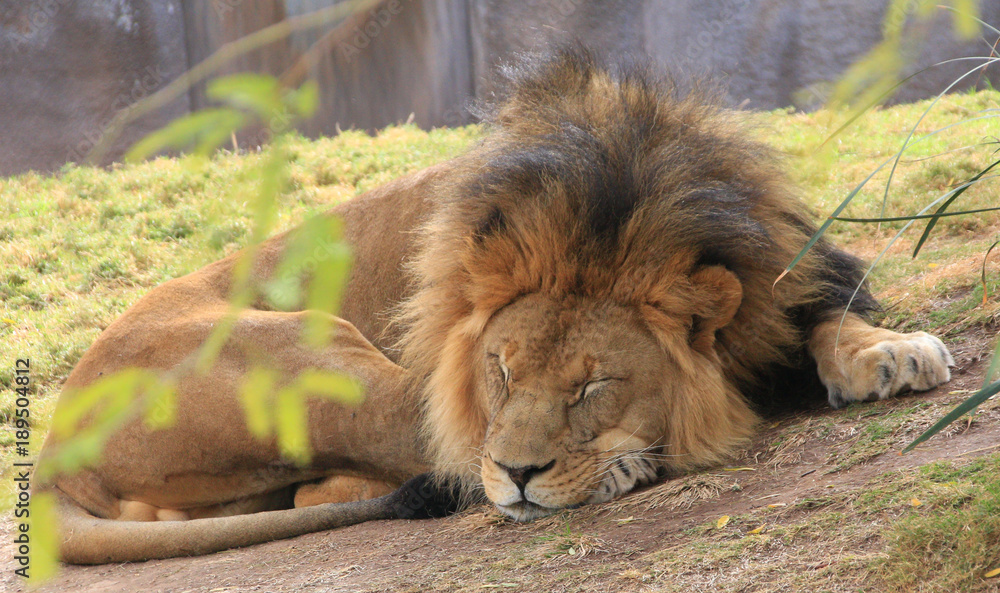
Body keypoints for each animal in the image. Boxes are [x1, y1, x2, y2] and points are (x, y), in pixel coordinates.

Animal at [37, 49, 954, 564]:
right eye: (501, 371)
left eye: (594, 384)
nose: (519, 476)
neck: (618, 206)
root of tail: (52, 444)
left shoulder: (786, 269)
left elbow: (826, 315)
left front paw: (888, 352)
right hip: (313, 351)